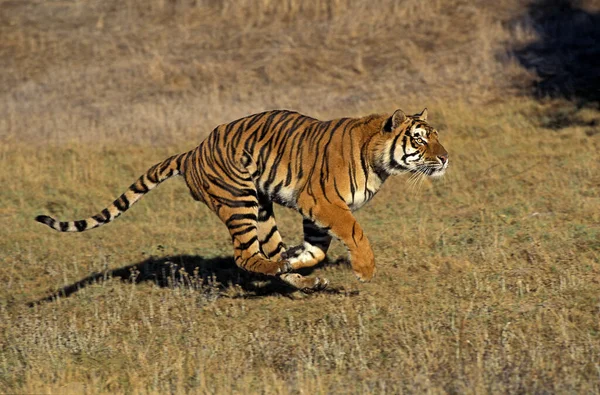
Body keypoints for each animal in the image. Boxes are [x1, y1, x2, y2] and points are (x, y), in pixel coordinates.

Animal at [36, 108, 446, 290]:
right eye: (420, 139)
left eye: (436, 137)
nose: (445, 158)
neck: (379, 161)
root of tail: (191, 152)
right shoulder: (322, 202)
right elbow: (355, 232)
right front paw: (365, 269)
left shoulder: (314, 213)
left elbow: (316, 250)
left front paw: (298, 259)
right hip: (239, 202)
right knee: (245, 256)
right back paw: (284, 271)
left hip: (261, 207)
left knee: (264, 253)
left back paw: (295, 275)